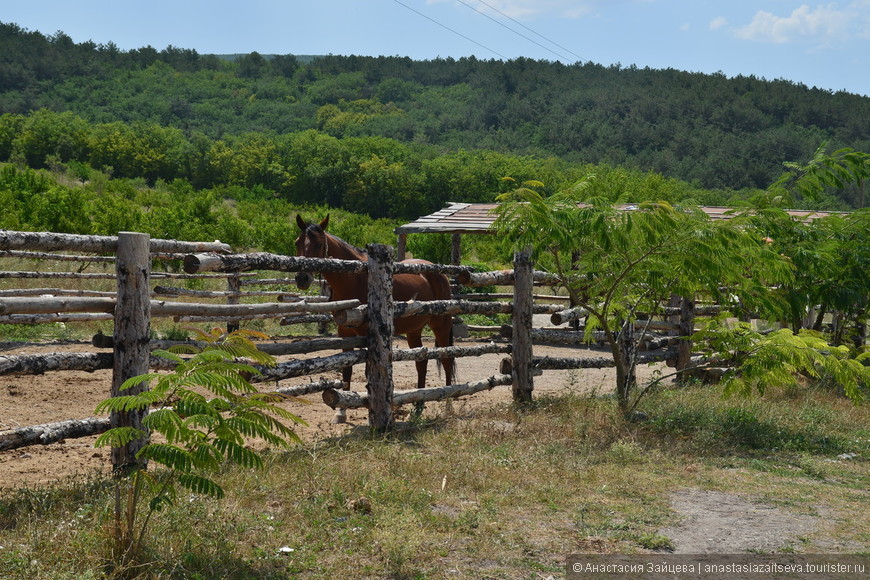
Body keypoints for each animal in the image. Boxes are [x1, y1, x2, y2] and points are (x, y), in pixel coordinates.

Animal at [294, 215, 456, 420]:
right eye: (297, 242)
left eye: (318, 243)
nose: (302, 278)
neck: (354, 279)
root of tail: (439, 273)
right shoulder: (344, 331)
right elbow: (346, 369)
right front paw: (341, 411)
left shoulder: (367, 334)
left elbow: (367, 371)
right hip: (414, 330)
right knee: (421, 362)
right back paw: (418, 406)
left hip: (441, 326)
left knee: (446, 360)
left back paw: (448, 405)